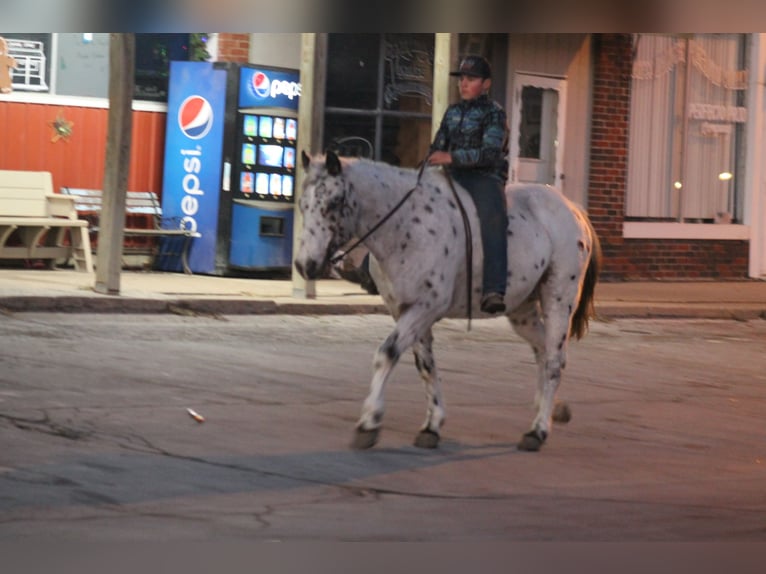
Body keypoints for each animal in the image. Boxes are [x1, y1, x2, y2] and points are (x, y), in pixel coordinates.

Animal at [296, 152, 604, 454]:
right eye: (302, 204)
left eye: (333, 202)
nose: (304, 265)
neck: (405, 226)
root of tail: (573, 208)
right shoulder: (404, 309)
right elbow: (425, 365)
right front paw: (431, 425)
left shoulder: (425, 307)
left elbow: (387, 354)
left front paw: (369, 424)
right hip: (522, 310)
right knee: (544, 351)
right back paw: (551, 411)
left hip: (558, 297)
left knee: (553, 359)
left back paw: (537, 431)